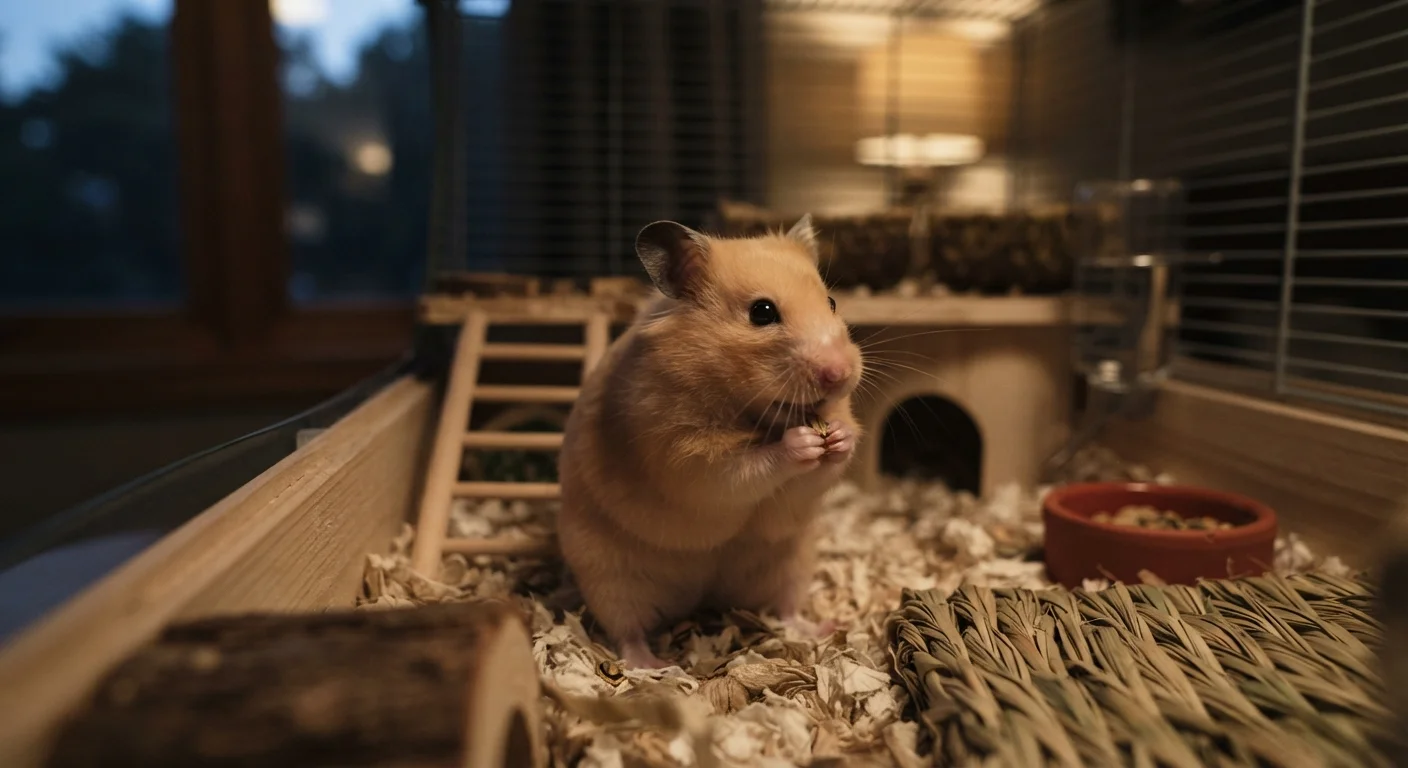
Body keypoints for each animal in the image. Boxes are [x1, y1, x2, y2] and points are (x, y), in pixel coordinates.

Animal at [556, 215, 864, 669]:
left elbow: (819, 470)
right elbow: (742, 469)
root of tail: (698, 597)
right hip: (607, 574)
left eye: (832, 302)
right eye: (762, 312)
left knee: (786, 609)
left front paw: (838, 438)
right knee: (627, 629)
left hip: (791, 563)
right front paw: (801, 443)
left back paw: (823, 628)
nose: (839, 373)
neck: (755, 410)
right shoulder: (684, 456)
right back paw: (653, 666)